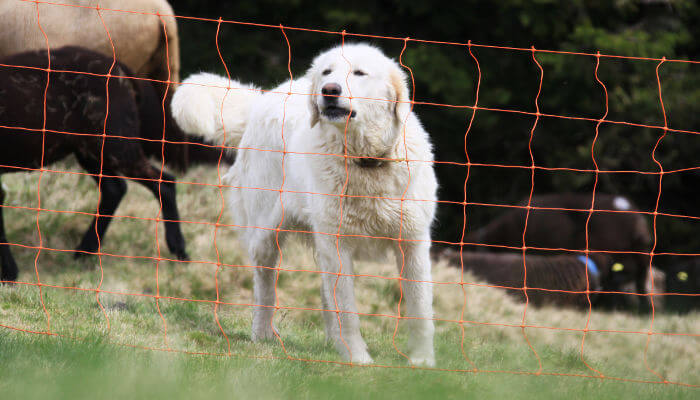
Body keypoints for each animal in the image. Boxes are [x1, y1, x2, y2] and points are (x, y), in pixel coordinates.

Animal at [172, 43, 434, 366]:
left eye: (359, 73)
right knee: (265, 288)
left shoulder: (412, 241)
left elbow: (420, 308)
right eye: (327, 72)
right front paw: (358, 360)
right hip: (265, 237)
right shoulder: (337, 245)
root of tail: (263, 99)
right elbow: (348, 311)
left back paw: (332, 343)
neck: (364, 161)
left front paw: (423, 362)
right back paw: (263, 335)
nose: (329, 90)